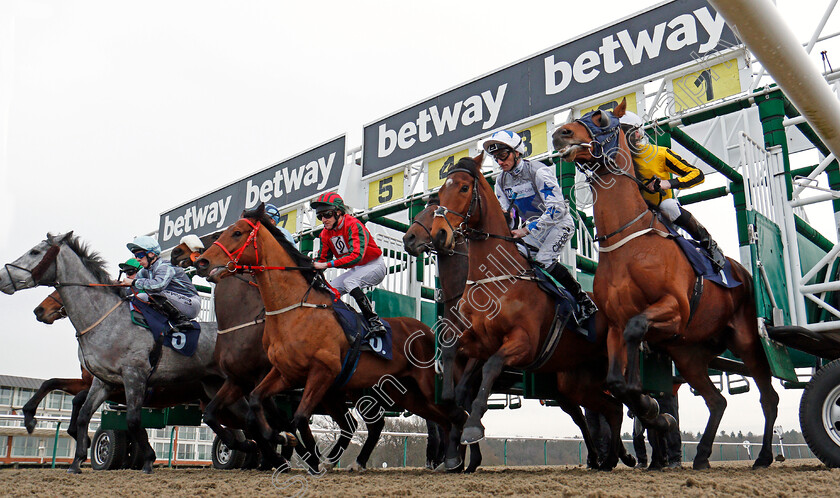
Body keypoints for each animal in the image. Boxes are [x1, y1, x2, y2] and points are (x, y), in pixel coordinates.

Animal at [171, 236, 388, 470]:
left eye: (214, 236)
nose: (175, 252)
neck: (242, 320)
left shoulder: (265, 377)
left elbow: (275, 421)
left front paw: (288, 452)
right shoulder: (240, 379)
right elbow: (215, 415)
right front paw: (269, 452)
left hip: (356, 388)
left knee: (373, 422)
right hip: (334, 391)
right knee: (354, 423)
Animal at [194, 204, 466, 468]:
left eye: (237, 233)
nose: (203, 262)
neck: (294, 310)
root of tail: (426, 330)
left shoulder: (321, 371)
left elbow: (296, 419)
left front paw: (299, 453)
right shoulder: (281, 374)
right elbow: (253, 406)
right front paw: (280, 445)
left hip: (421, 385)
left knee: (454, 415)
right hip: (399, 392)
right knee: (430, 420)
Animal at [426, 156, 636, 470]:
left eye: (463, 188)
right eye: (440, 192)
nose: (440, 234)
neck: (495, 279)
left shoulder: (523, 342)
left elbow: (490, 368)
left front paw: (472, 426)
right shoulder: (477, 340)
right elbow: (452, 354)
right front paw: (452, 411)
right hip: (575, 380)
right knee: (610, 407)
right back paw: (610, 458)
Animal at [552, 99, 780, 468]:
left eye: (599, 118)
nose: (561, 133)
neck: (630, 241)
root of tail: (743, 271)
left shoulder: (675, 308)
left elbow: (637, 329)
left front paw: (648, 405)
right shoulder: (614, 323)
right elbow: (616, 382)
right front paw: (652, 411)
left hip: (746, 339)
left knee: (768, 396)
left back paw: (762, 456)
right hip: (688, 353)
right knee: (717, 401)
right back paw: (701, 456)